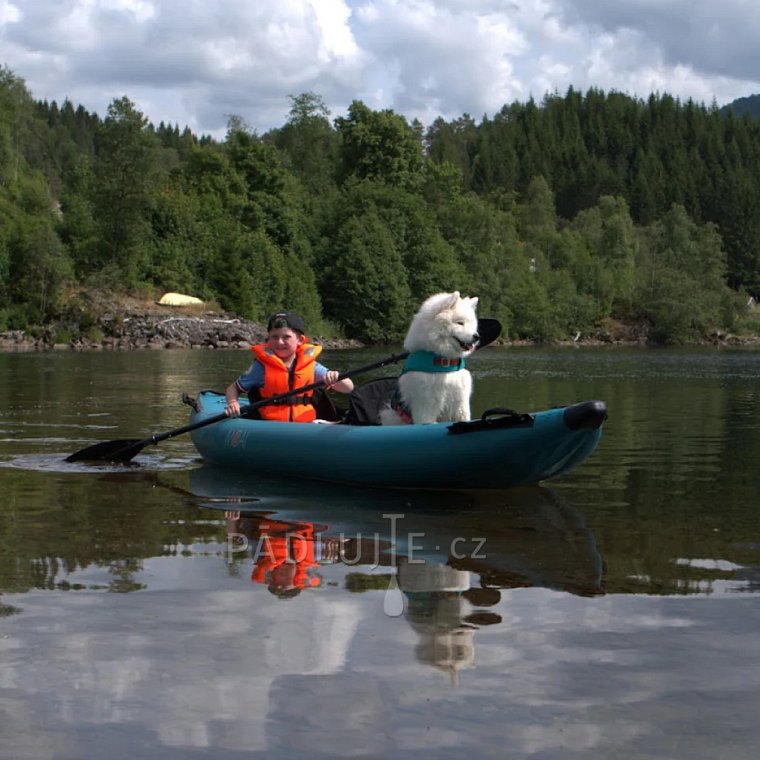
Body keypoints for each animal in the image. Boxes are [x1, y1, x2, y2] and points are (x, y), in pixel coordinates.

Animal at [380, 290, 480, 424]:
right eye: (460, 323)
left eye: (471, 324)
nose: (477, 337)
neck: (443, 362)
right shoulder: (426, 406)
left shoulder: (460, 404)